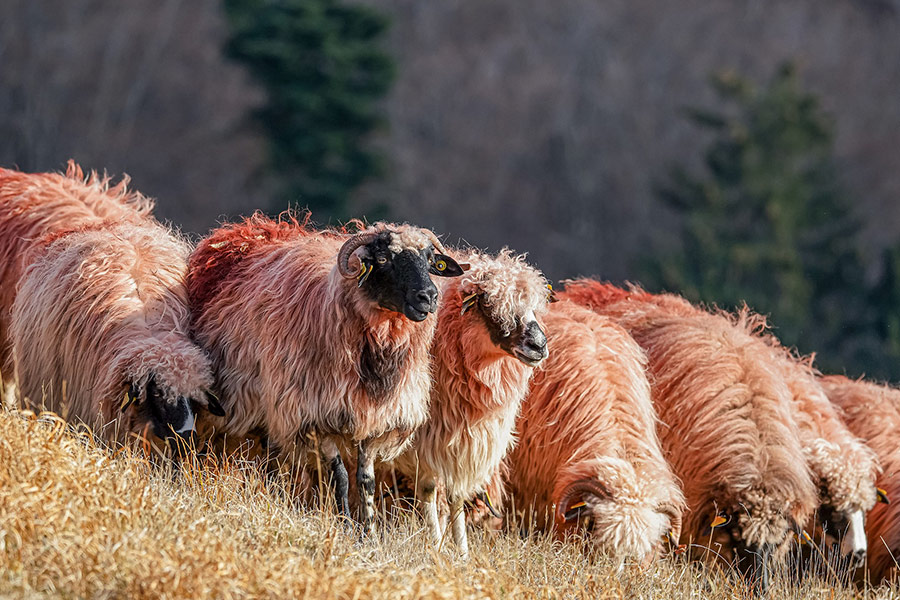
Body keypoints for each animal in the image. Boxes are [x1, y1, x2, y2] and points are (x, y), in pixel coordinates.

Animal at [187, 214, 465, 531]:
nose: (428, 297)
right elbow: (341, 478)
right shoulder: (317, 416)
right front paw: (346, 525)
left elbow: (366, 482)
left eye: (430, 259)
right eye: (383, 259)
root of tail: (252, 230)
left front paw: (369, 531)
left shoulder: (374, 421)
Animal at [389, 248, 550, 557]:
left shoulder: (461, 441)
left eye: (534, 306)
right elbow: (429, 490)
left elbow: (455, 496)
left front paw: (461, 552)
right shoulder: (424, 440)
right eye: (488, 303)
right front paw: (436, 545)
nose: (539, 345)